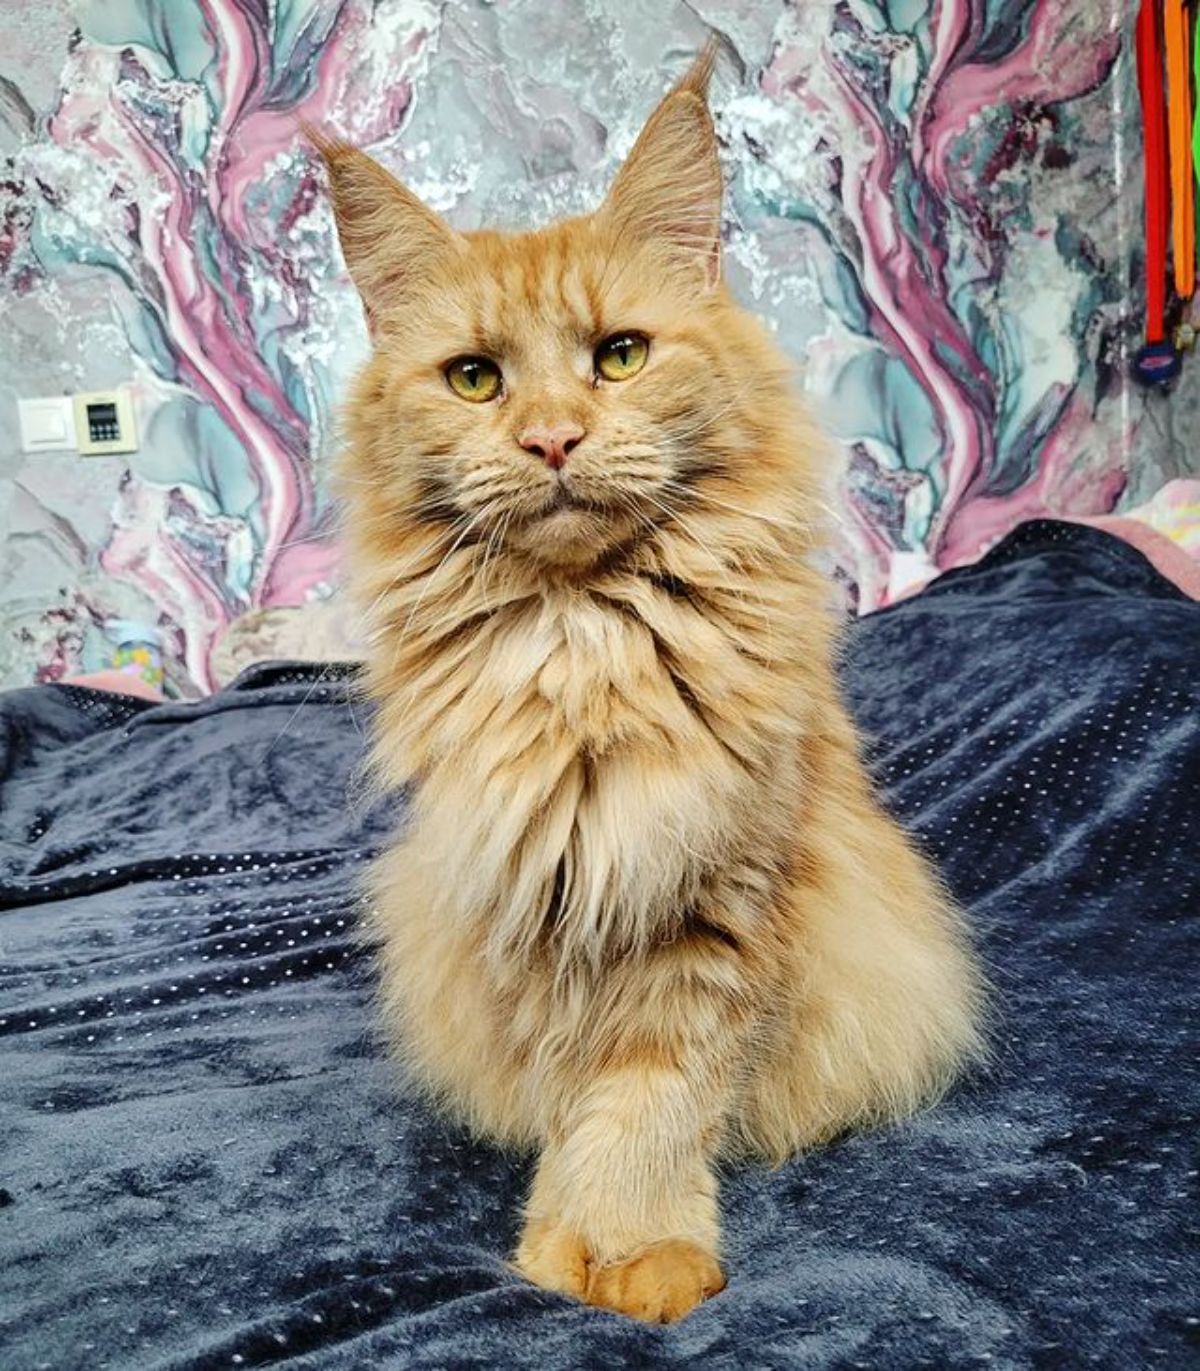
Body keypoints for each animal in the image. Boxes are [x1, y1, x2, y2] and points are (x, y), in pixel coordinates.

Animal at [312, 45, 987, 1327]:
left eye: (620, 356)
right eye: (474, 380)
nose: (552, 440)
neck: (586, 649)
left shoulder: (712, 900)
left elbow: (649, 1100)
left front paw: (633, 1250)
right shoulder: (532, 887)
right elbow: (574, 1092)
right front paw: (561, 1237)